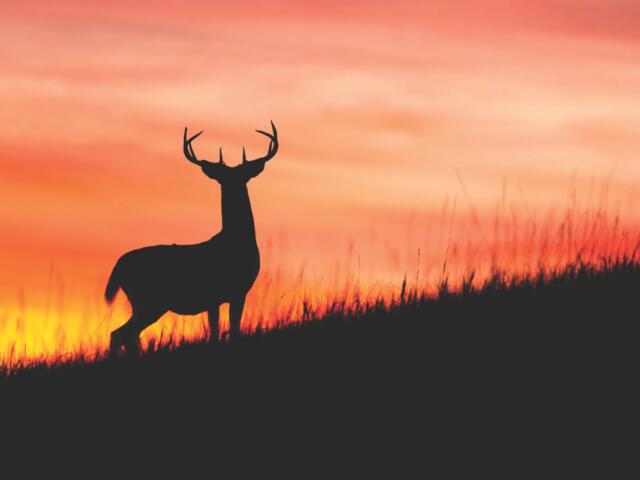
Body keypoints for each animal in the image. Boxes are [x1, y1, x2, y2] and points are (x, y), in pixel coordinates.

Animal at [104, 121, 279, 357]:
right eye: (224, 178)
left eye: (242, 176)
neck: (236, 241)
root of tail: (119, 264)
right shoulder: (222, 293)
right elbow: (220, 332)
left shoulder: (233, 293)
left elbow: (228, 330)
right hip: (149, 300)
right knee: (123, 333)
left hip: (146, 303)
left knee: (123, 333)